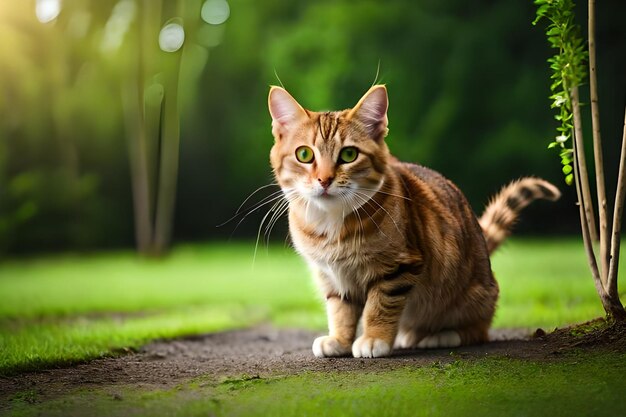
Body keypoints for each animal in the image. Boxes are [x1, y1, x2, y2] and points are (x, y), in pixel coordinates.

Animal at [266, 84, 560, 358]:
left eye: (349, 155)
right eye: (305, 155)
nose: (324, 180)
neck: (332, 222)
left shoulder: (397, 267)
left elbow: (379, 305)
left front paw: (374, 338)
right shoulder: (333, 278)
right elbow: (340, 310)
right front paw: (339, 340)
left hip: (475, 297)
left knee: (479, 329)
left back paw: (443, 335)